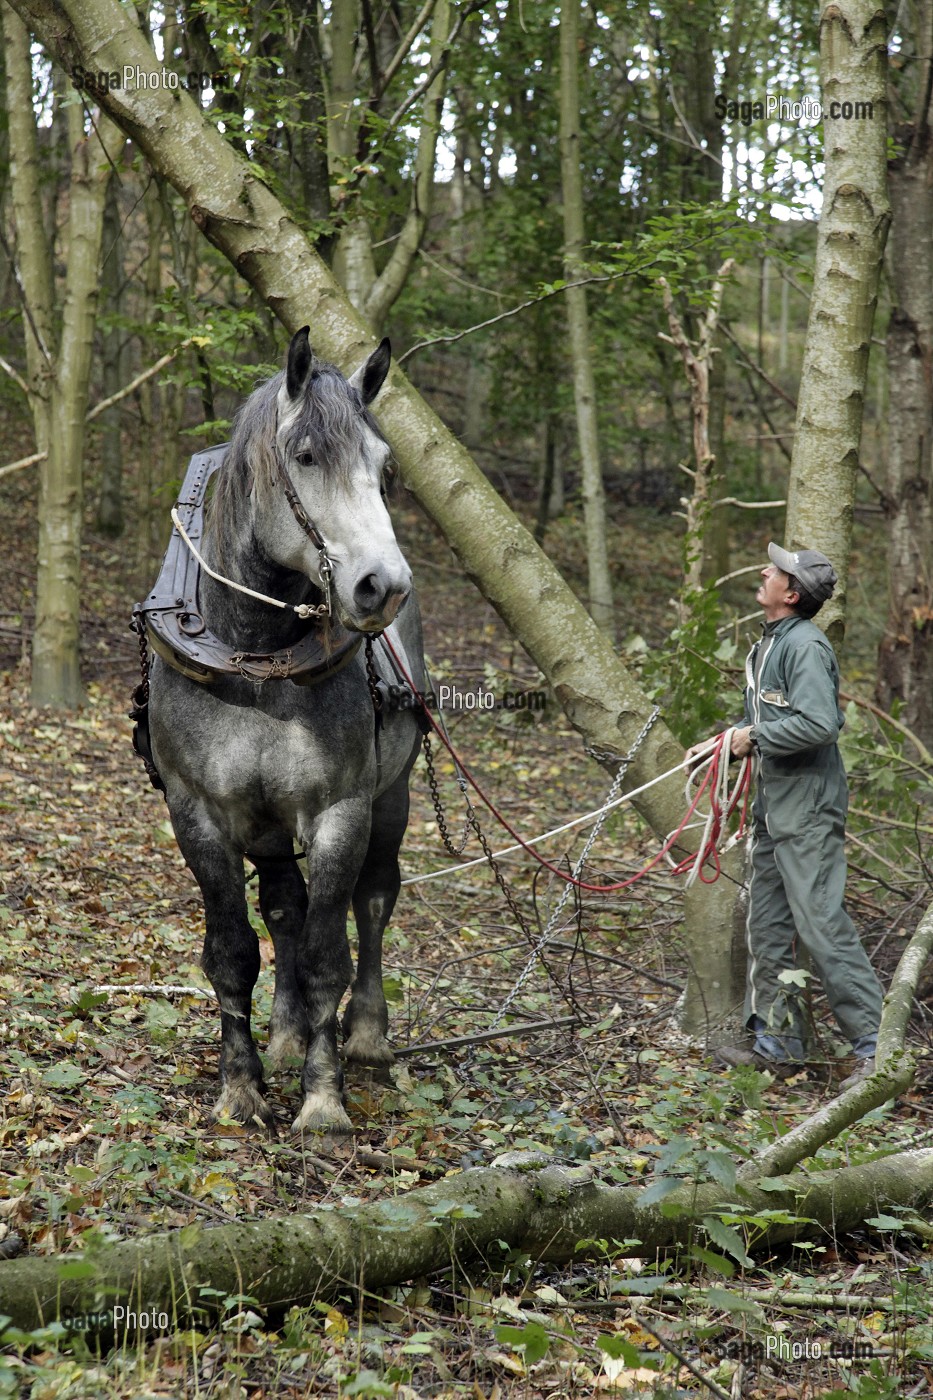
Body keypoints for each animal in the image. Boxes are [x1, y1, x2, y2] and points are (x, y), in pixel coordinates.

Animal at [145, 327, 424, 1134]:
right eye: (304, 456)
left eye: (384, 468)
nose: (384, 587)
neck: (257, 651)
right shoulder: (198, 812)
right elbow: (235, 950)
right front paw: (241, 1087)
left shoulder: (341, 811)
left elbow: (331, 952)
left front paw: (323, 1100)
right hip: (266, 823)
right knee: (283, 907)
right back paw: (287, 1031)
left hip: (391, 799)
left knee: (374, 901)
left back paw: (363, 1035)